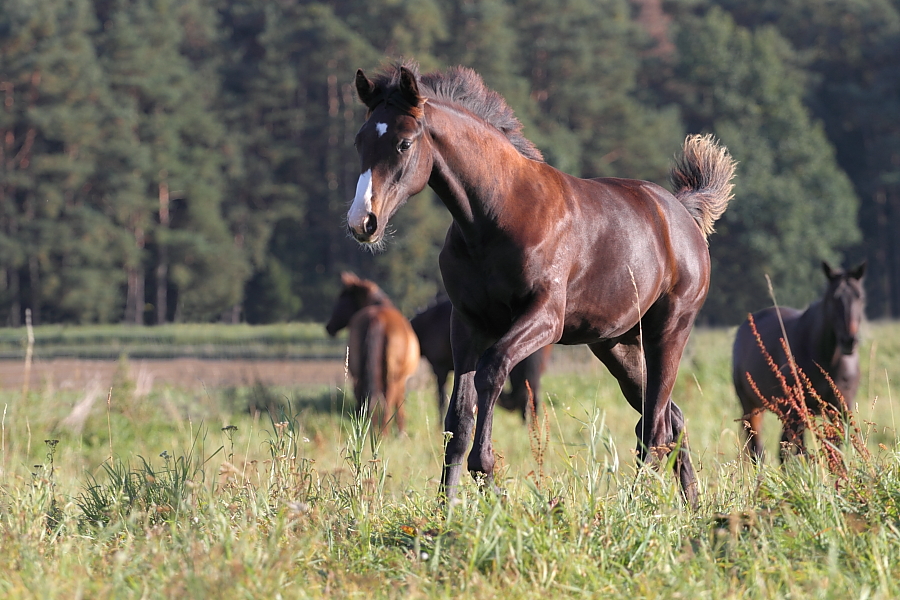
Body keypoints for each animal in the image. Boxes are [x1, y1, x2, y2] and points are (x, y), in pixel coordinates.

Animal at [326, 274, 420, 436]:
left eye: (342, 299)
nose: (329, 327)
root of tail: (378, 318)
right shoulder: (401, 380)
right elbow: (399, 403)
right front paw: (401, 431)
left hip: (358, 375)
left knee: (364, 398)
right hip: (391, 379)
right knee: (386, 401)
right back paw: (383, 432)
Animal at [732, 260, 864, 462]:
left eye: (860, 296)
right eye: (834, 298)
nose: (849, 340)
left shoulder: (840, 408)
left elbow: (836, 448)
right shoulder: (797, 411)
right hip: (753, 407)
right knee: (759, 449)